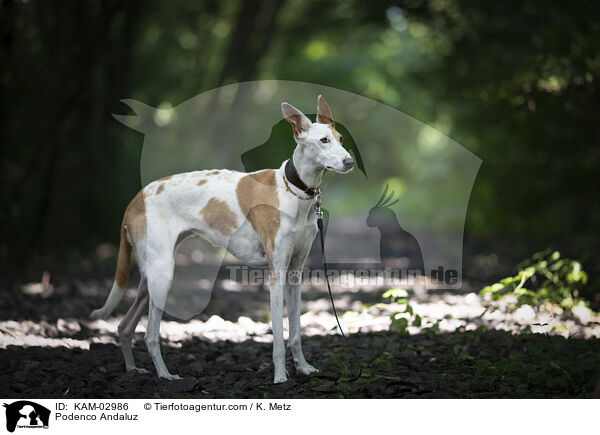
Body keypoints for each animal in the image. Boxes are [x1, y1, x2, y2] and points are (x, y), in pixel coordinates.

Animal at [91, 96, 354, 384]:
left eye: (340, 138)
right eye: (324, 140)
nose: (350, 162)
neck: (294, 190)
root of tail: (137, 198)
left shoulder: (295, 273)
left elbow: (295, 332)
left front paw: (304, 368)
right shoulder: (276, 275)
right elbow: (278, 338)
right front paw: (280, 377)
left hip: (149, 281)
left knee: (124, 326)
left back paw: (131, 370)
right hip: (162, 275)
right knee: (149, 335)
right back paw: (165, 375)